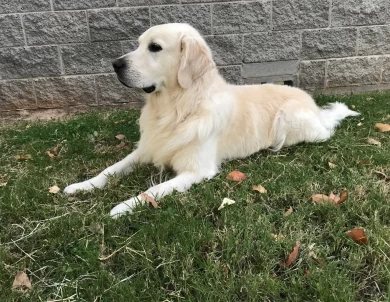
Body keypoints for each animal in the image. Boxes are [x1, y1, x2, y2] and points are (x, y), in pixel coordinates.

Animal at [64, 23, 360, 217]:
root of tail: (312, 104)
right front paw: (81, 186)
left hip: (291, 123)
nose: (115, 64)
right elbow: (109, 170)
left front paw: (121, 207)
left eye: (155, 47)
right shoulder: (146, 148)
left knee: (327, 127)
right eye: (138, 44)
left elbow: (152, 190)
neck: (176, 108)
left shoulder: (195, 171)